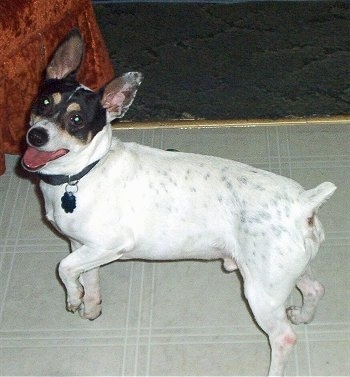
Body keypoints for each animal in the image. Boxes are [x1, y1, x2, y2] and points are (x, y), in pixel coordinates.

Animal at [21, 29, 336, 374]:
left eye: (76, 119)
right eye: (43, 103)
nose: (36, 136)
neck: (83, 172)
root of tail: (303, 203)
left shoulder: (108, 245)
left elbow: (64, 269)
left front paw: (73, 296)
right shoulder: (82, 245)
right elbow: (87, 276)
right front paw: (87, 303)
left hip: (260, 292)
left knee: (284, 338)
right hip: (283, 274)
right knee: (315, 289)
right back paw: (304, 315)